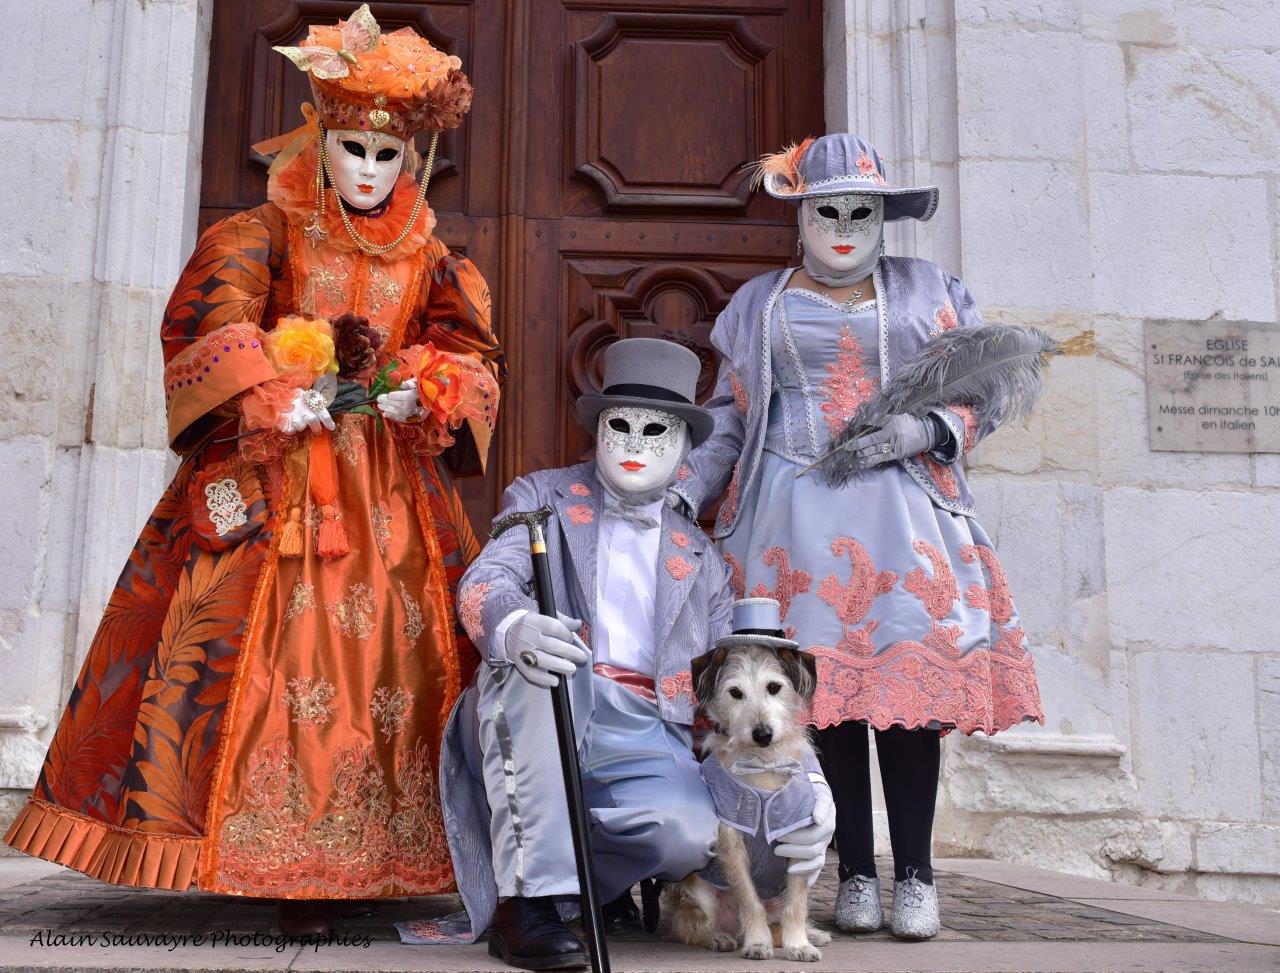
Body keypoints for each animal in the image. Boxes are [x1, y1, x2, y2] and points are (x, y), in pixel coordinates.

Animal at [665, 627, 834, 962]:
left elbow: (796, 904)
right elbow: (749, 899)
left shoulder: (800, 842)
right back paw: (720, 937)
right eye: (735, 693)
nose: (763, 734)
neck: (763, 766)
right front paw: (757, 942)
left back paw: (810, 935)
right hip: (699, 893)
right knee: (688, 928)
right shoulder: (732, 844)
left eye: (774, 687)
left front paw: (799, 945)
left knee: (779, 920)